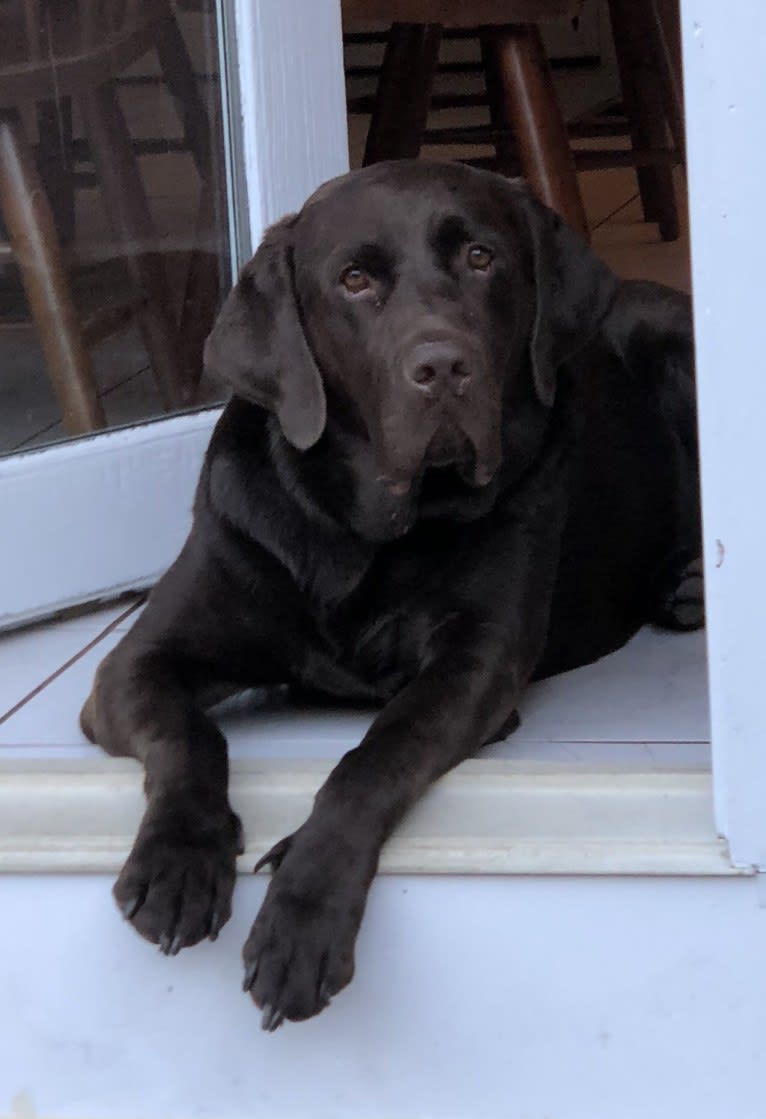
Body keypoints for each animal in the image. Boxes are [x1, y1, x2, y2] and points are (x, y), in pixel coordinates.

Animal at [79, 160, 697, 1029]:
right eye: (354, 279)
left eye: (480, 256)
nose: (442, 367)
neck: (362, 532)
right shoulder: (135, 661)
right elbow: (186, 734)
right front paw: (179, 858)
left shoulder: (475, 664)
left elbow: (372, 756)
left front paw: (304, 909)